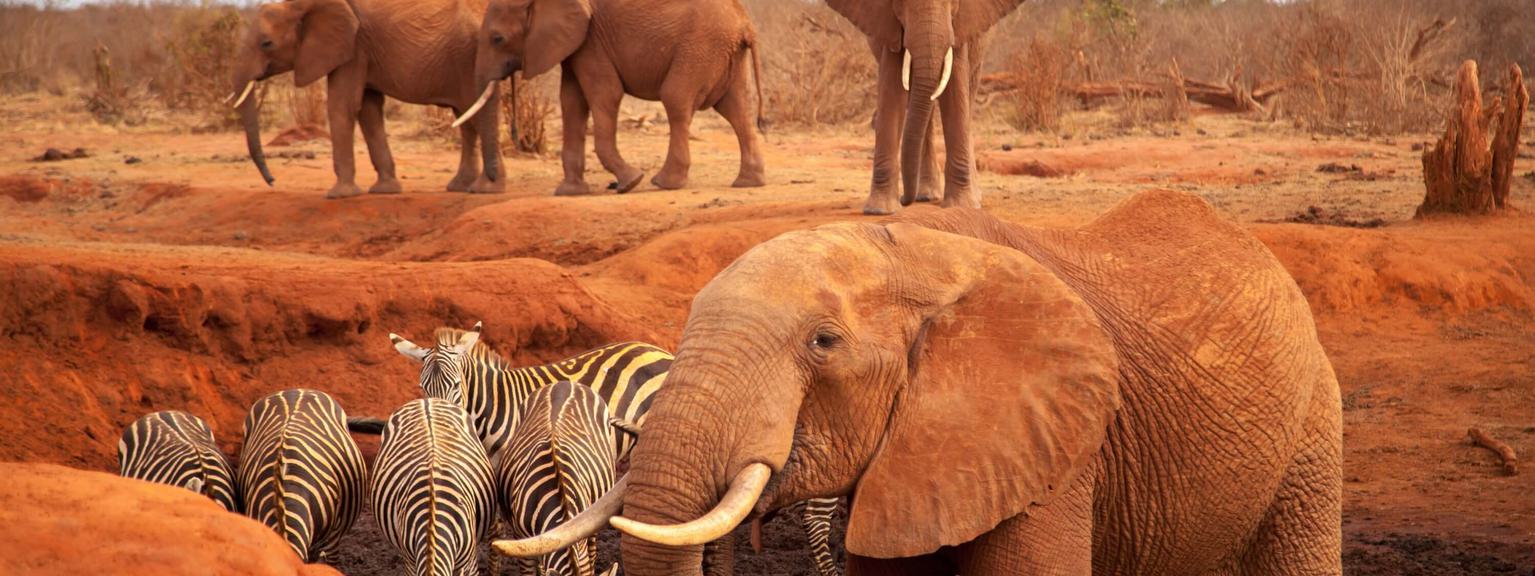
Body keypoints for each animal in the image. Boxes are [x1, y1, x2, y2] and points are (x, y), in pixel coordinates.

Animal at [231, 0, 505, 198]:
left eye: (266, 44)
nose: (272, 181)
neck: (299, 4)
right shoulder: (362, 51)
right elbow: (369, 111)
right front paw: (385, 191)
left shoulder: (354, 47)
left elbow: (342, 106)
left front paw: (339, 195)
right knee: (467, 118)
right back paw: (461, 187)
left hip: (471, 58)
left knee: (477, 116)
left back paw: (486, 189)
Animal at [457, 0, 766, 195]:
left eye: (497, 38)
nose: (485, 187)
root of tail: (746, 24)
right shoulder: (577, 45)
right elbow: (572, 102)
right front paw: (570, 192)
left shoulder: (592, 40)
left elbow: (604, 94)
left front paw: (630, 182)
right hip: (725, 52)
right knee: (738, 110)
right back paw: (748, 182)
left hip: (699, 48)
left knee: (676, 100)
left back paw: (663, 183)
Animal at [828, 0, 1022, 214]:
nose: (905, 200)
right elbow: (892, 82)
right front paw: (879, 210)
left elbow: (956, 84)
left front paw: (960, 206)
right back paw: (926, 195)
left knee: (968, 93)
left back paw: (971, 196)